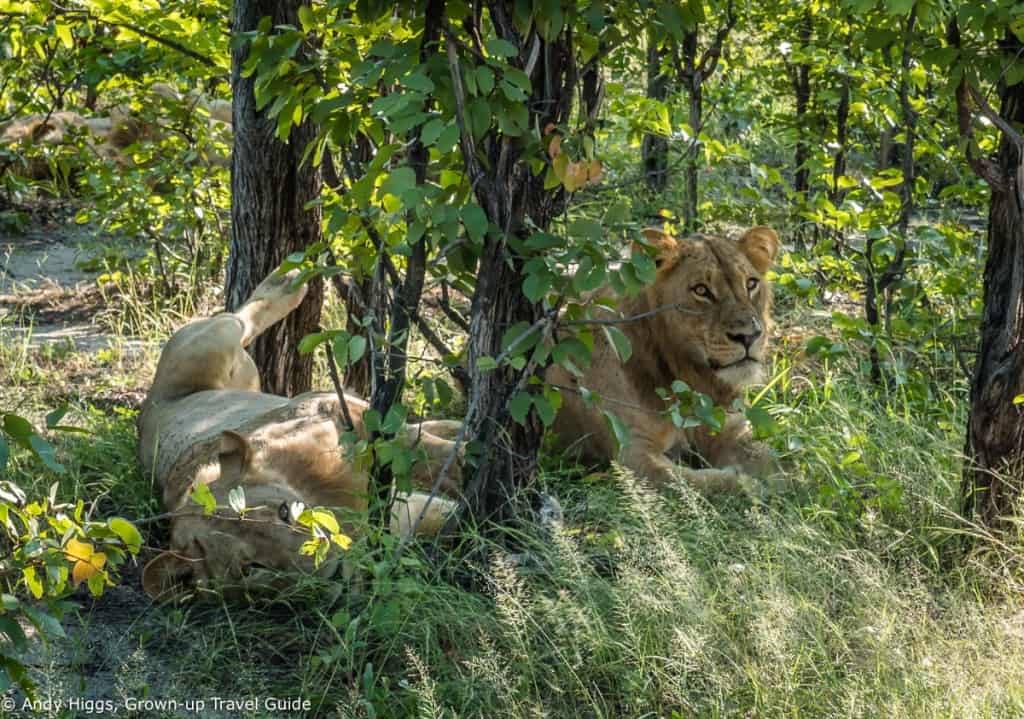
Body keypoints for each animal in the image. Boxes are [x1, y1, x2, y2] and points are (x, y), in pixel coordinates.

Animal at [139, 270, 460, 602]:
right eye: (251, 569)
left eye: (284, 512)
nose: (334, 572)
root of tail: (146, 408)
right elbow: (439, 509)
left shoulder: (337, 412)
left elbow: (434, 454)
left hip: (211, 344)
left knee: (241, 317)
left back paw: (287, 281)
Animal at [548, 226, 778, 495]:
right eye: (701, 290)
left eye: (751, 284)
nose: (749, 336)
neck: (688, 376)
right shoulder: (632, 452)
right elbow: (691, 483)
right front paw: (747, 485)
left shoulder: (731, 428)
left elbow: (771, 461)